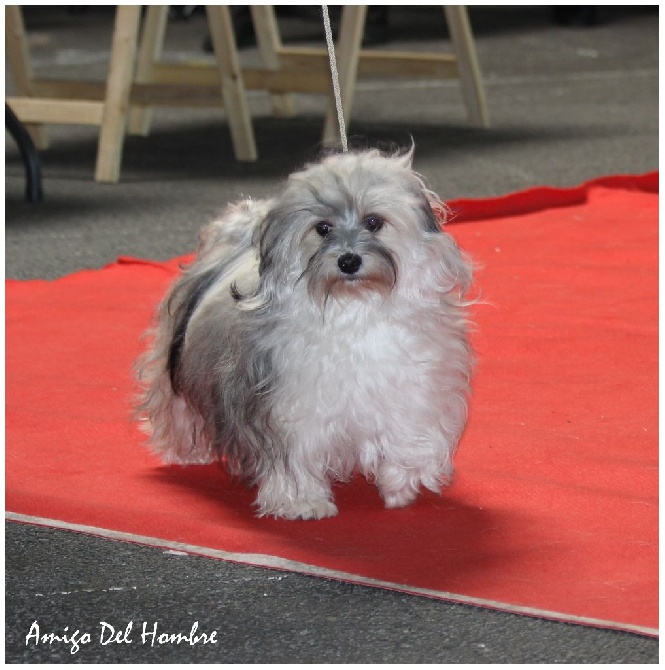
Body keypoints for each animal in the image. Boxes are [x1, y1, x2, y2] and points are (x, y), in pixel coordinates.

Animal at [137, 150, 474, 524]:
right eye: (322, 228)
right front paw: (303, 502)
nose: (348, 260)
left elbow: (411, 440)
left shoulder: (413, 389)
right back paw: (187, 452)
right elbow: (293, 459)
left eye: (373, 222)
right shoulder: (286, 410)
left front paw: (401, 484)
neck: (355, 311)